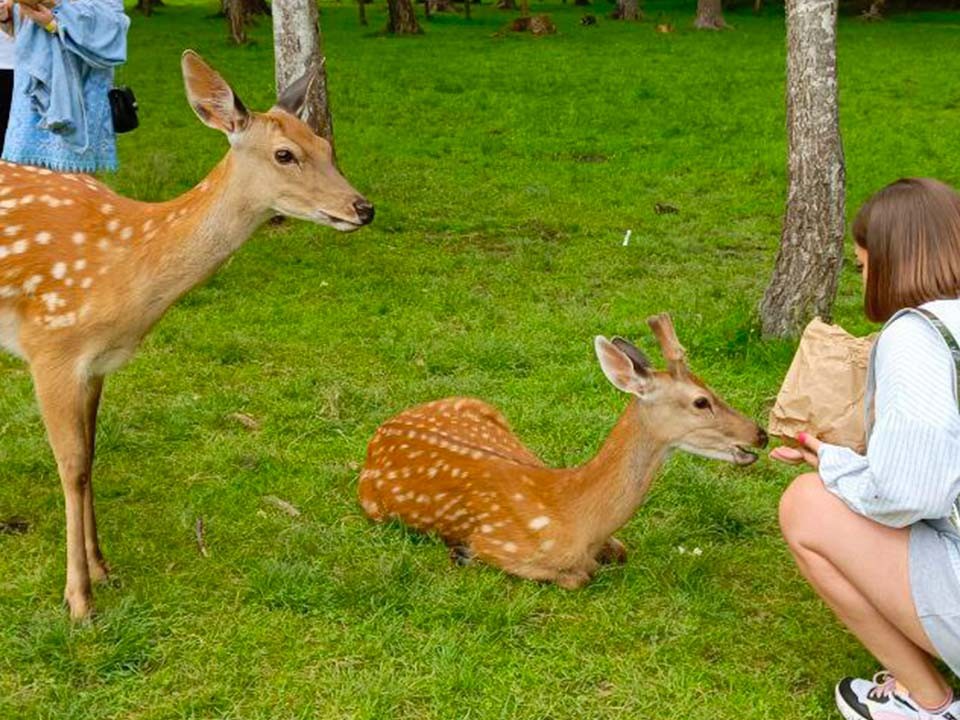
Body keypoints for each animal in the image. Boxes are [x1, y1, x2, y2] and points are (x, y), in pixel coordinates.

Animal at [0, 53, 376, 620]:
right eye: (284, 154)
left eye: (326, 147)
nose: (362, 208)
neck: (125, 277)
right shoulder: (51, 346)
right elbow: (71, 468)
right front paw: (79, 600)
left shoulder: (97, 365)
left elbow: (91, 458)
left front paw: (103, 568)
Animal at [356, 312, 768, 588]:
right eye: (701, 401)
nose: (760, 435)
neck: (576, 520)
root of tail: (383, 429)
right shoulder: (500, 545)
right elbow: (580, 576)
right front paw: (461, 553)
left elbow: (620, 552)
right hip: (373, 506)